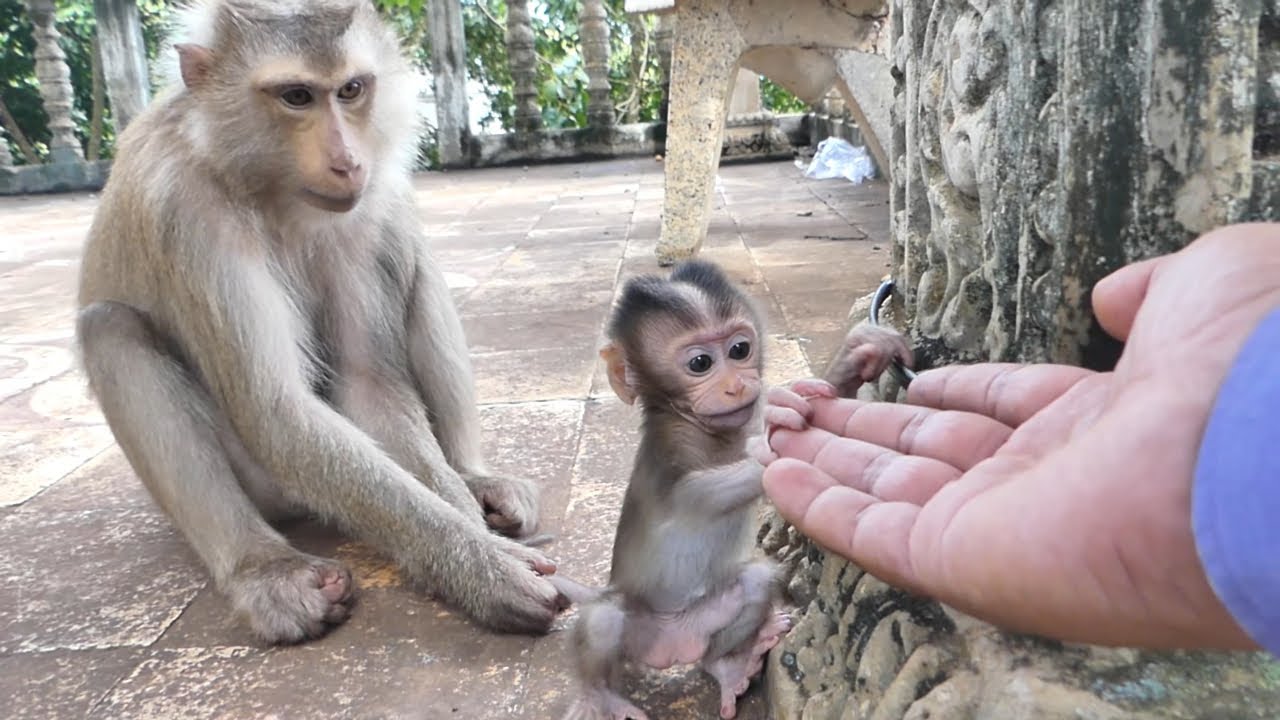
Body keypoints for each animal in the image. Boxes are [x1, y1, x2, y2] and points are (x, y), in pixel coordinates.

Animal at [73, 0, 566, 645]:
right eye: (296, 97)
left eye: (351, 89)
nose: (348, 160)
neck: (266, 186)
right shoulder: (187, 213)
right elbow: (275, 411)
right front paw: (483, 566)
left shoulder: (362, 211)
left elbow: (369, 386)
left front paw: (470, 529)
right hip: (266, 487)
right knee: (110, 330)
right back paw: (262, 567)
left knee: (413, 255)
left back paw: (475, 476)